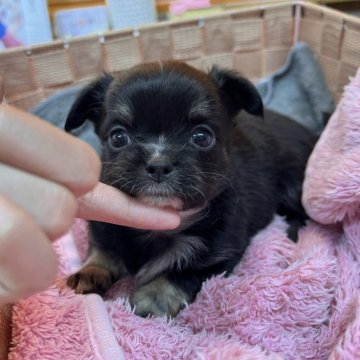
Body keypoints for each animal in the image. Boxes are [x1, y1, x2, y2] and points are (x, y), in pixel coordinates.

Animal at [64, 62, 316, 318]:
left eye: (202, 137)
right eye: (118, 137)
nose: (158, 165)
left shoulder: (220, 255)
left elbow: (182, 275)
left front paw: (150, 299)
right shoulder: (103, 229)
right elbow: (102, 252)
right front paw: (89, 272)